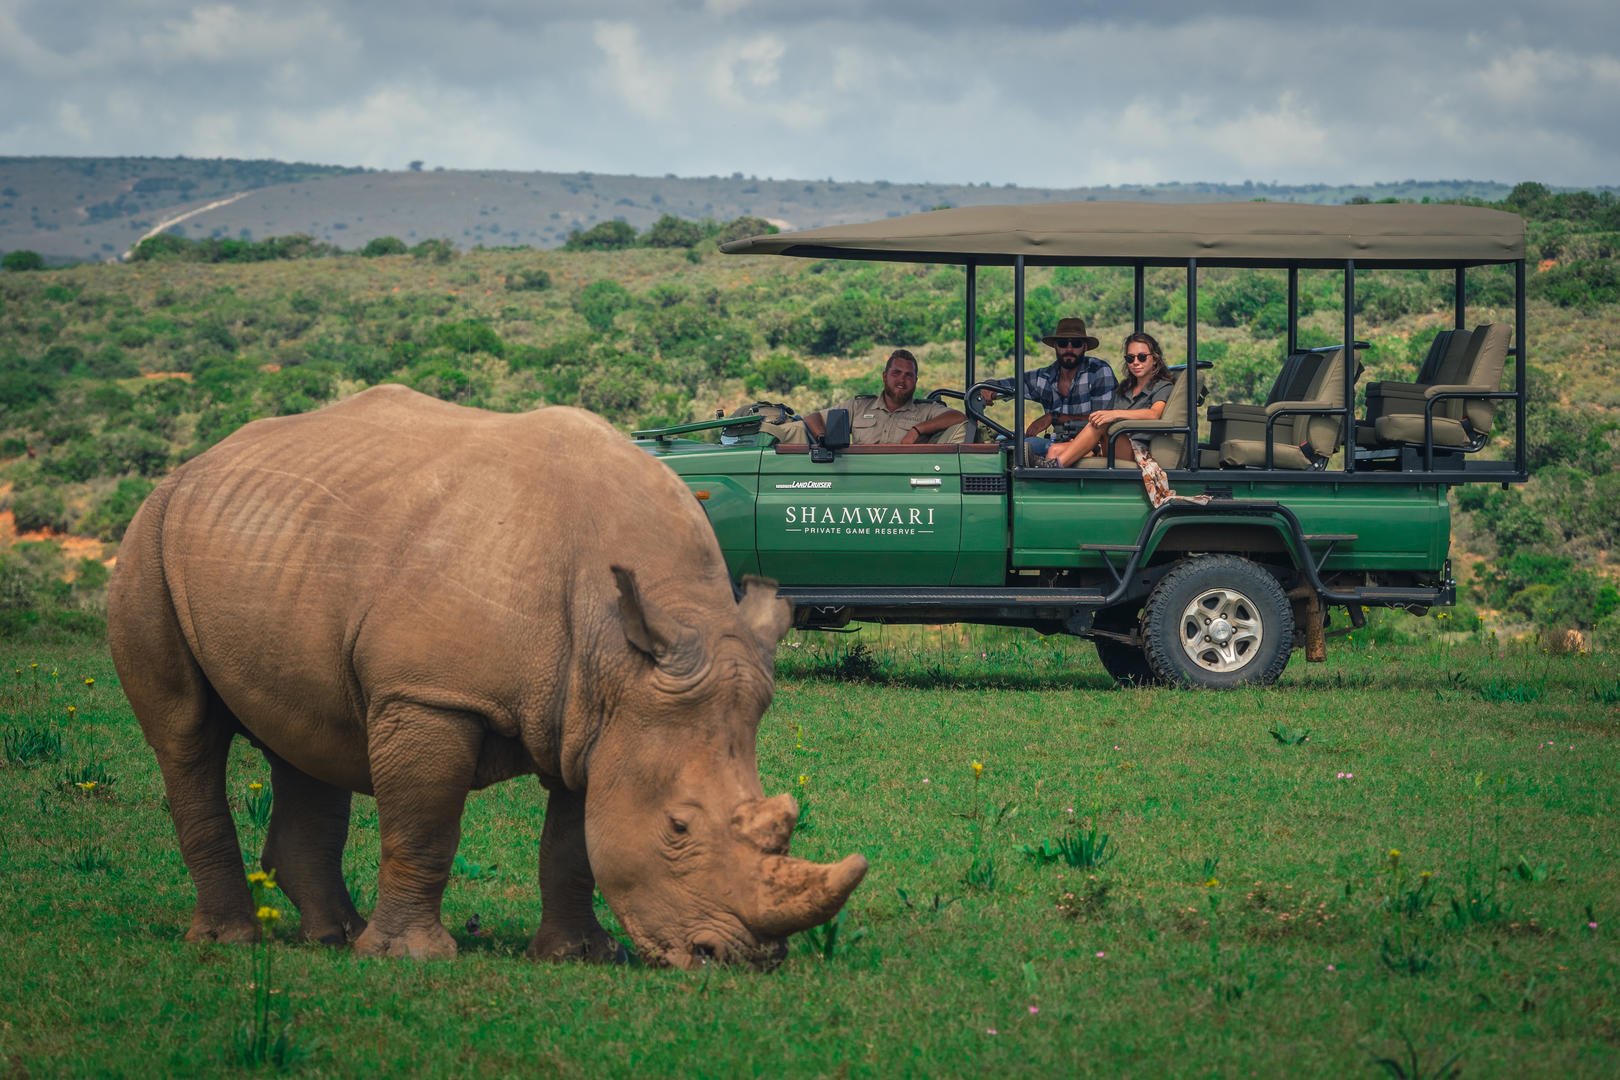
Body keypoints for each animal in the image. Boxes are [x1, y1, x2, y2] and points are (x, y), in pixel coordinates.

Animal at [108, 385, 866, 968]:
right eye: (679, 828)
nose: (742, 959)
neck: (620, 652)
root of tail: (199, 461)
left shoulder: (599, 715)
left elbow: (574, 841)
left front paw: (578, 955)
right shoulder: (431, 695)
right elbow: (425, 826)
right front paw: (412, 959)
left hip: (276, 543)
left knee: (305, 733)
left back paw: (333, 938)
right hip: (149, 538)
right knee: (186, 735)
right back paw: (231, 941)